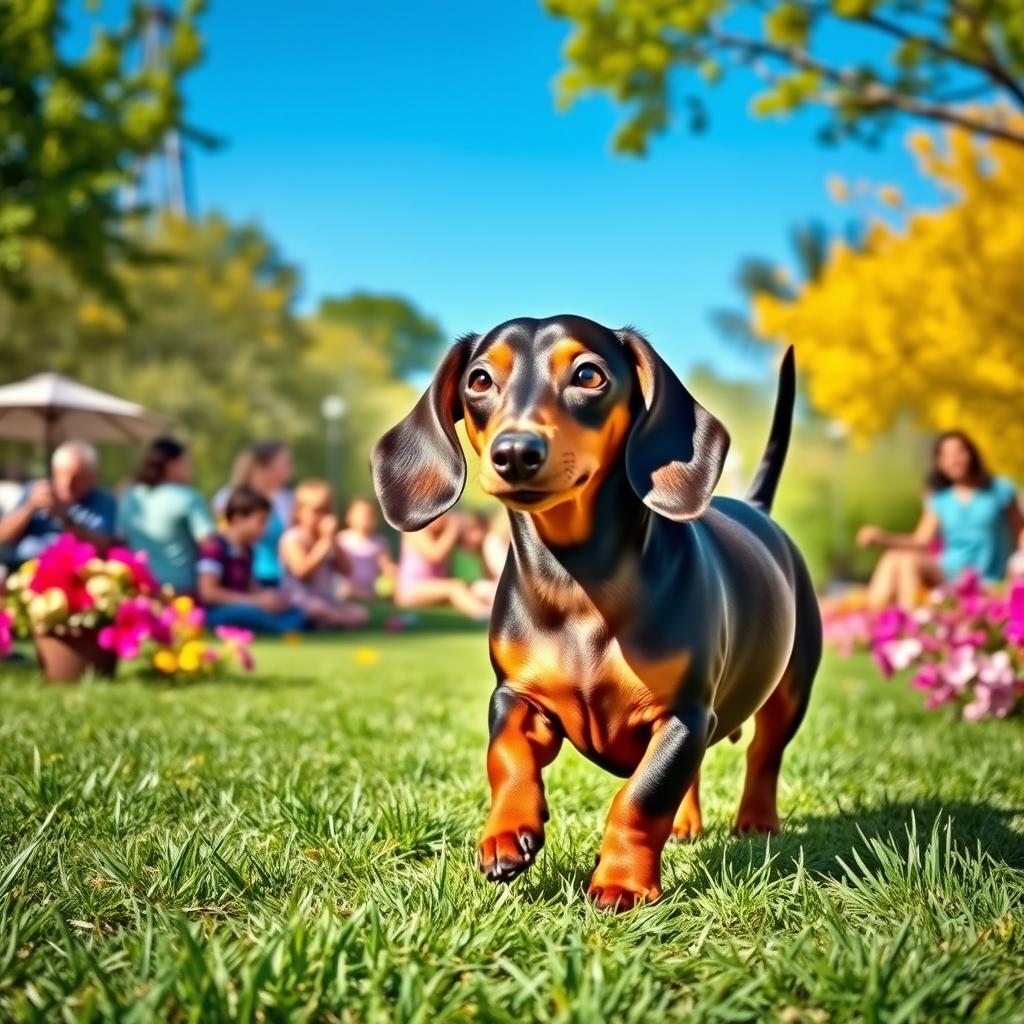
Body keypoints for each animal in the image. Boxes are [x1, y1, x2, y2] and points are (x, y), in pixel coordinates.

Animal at [372, 313, 827, 913]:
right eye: (479, 380)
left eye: (589, 374)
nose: (515, 452)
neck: (577, 581)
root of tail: (755, 507)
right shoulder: (516, 695)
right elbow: (506, 754)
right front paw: (506, 834)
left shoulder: (682, 712)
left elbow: (642, 796)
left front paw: (622, 883)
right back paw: (686, 824)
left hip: (789, 688)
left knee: (764, 753)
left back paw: (756, 820)